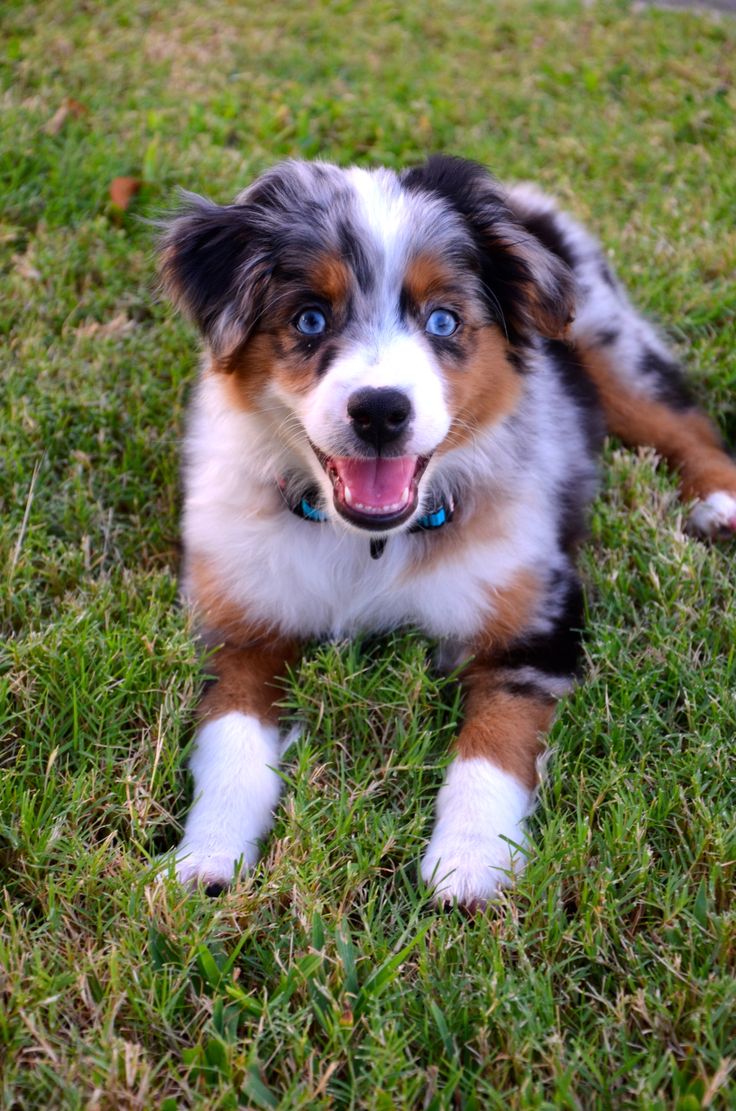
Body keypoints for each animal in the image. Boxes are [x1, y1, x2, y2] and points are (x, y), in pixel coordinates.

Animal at [158, 156, 736, 906]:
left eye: (443, 320)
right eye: (310, 318)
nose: (380, 411)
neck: (368, 544)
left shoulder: (533, 619)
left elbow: (492, 746)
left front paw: (468, 867)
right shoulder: (240, 625)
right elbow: (230, 742)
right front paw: (206, 858)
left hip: (607, 340)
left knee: (682, 421)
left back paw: (722, 501)